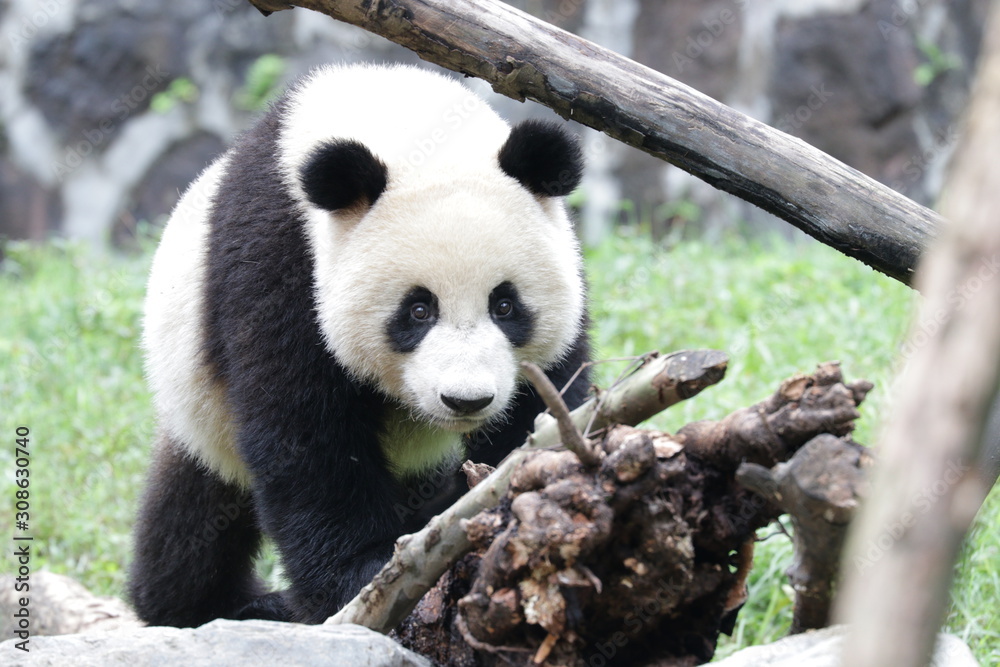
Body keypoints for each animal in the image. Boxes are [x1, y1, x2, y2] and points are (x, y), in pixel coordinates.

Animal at [127, 63, 591, 627]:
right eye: (418, 310)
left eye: (505, 305)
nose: (466, 401)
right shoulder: (278, 260)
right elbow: (303, 433)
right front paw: (362, 576)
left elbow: (546, 401)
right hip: (196, 398)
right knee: (199, 507)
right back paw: (215, 603)